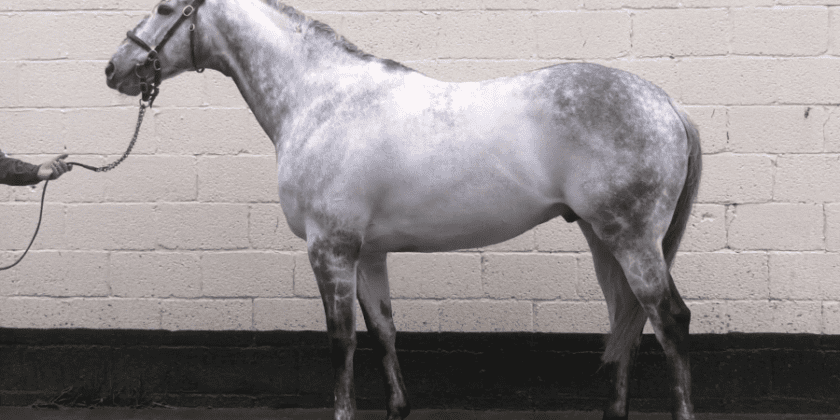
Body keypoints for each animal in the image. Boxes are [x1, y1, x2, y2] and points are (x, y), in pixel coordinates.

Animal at [105, 1, 702, 419]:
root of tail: (668, 104)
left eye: (164, 8)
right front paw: (398, 407)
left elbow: (341, 339)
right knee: (627, 318)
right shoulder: (368, 253)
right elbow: (383, 331)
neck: (320, 101)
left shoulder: (331, 248)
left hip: (631, 239)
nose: (115, 69)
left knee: (669, 320)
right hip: (604, 239)